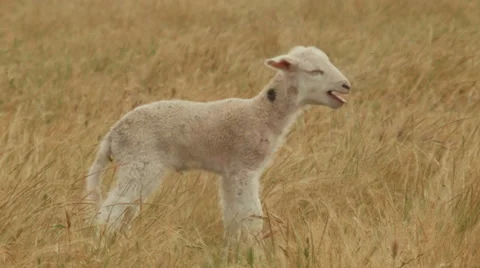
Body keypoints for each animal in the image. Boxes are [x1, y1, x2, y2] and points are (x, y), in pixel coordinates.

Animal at [84, 45, 350, 246]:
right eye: (315, 71)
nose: (346, 85)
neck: (261, 115)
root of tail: (112, 134)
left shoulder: (230, 173)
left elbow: (234, 216)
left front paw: (235, 248)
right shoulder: (244, 167)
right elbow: (252, 216)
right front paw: (254, 250)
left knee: (124, 210)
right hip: (140, 162)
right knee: (111, 210)